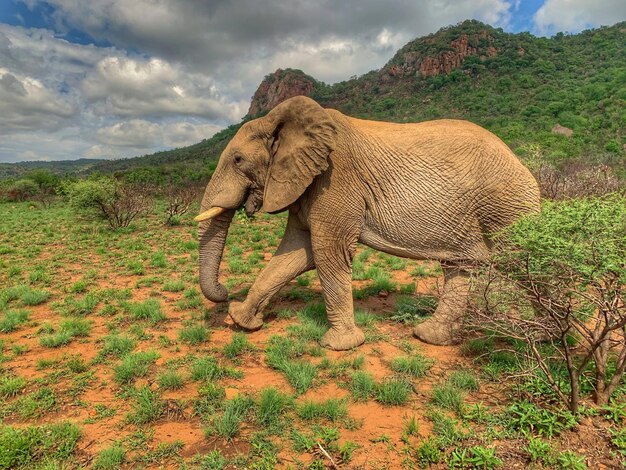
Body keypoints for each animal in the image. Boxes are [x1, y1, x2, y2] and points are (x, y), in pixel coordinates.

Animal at [194, 96, 536, 348]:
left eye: (238, 160)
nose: (224, 291)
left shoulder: (336, 181)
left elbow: (327, 253)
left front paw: (339, 346)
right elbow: (295, 254)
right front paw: (241, 321)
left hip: (507, 204)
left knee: (522, 263)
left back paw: (541, 338)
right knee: (459, 268)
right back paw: (430, 337)